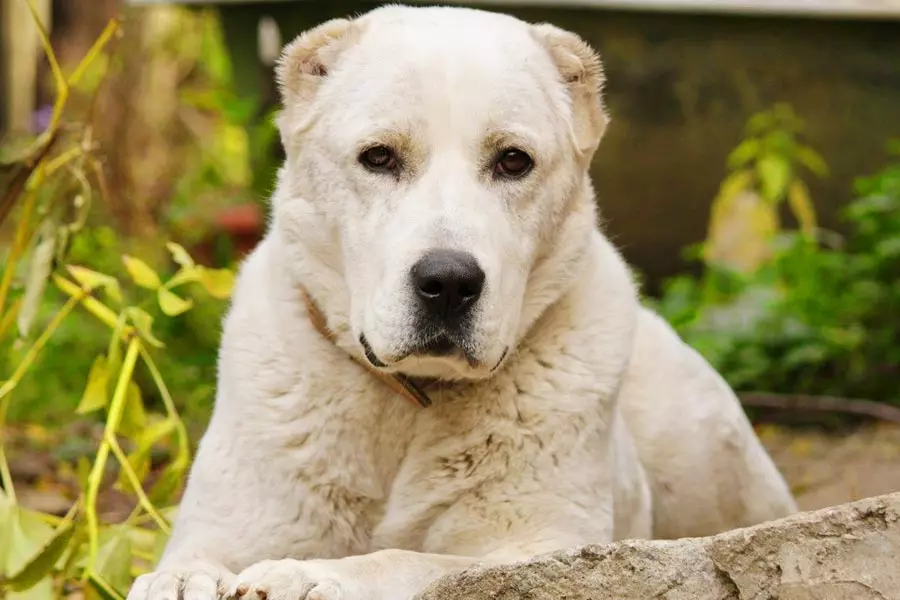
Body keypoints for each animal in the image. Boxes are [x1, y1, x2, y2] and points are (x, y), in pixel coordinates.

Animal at [126, 5, 796, 600]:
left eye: (513, 161)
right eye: (378, 157)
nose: (448, 281)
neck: (407, 404)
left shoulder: (542, 549)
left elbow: (407, 559)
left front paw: (309, 574)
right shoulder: (227, 526)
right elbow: (189, 561)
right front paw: (182, 582)